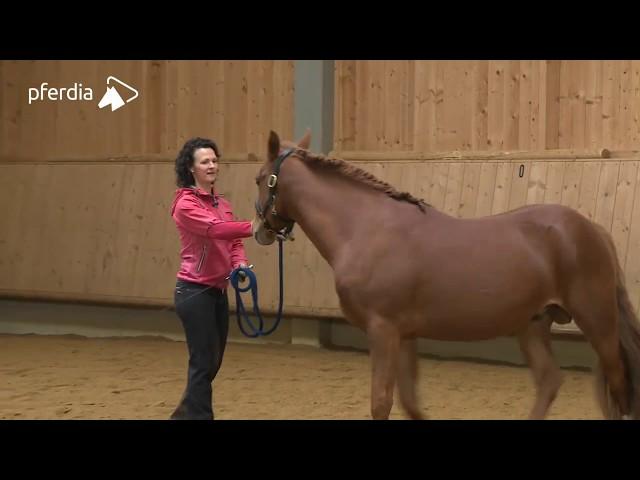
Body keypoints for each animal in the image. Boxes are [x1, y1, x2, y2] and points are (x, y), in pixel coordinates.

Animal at [252, 131, 640, 420]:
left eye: (259, 179)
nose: (259, 231)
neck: (366, 228)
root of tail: (591, 228)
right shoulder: (403, 335)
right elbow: (409, 402)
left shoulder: (383, 331)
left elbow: (382, 401)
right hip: (532, 324)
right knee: (549, 382)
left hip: (597, 322)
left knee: (620, 384)